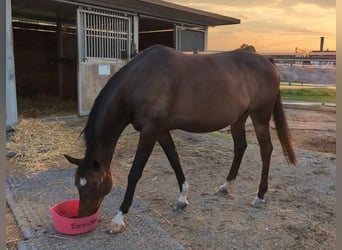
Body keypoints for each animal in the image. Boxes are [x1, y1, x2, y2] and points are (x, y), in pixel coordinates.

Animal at [65, 44, 296, 234]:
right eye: (77, 184)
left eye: (94, 184)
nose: (83, 217)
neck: (140, 80)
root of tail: (267, 61)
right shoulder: (160, 130)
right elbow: (174, 160)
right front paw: (182, 199)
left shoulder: (150, 131)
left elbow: (135, 172)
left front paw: (118, 218)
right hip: (239, 118)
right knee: (240, 146)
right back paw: (225, 186)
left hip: (260, 117)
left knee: (266, 150)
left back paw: (259, 196)